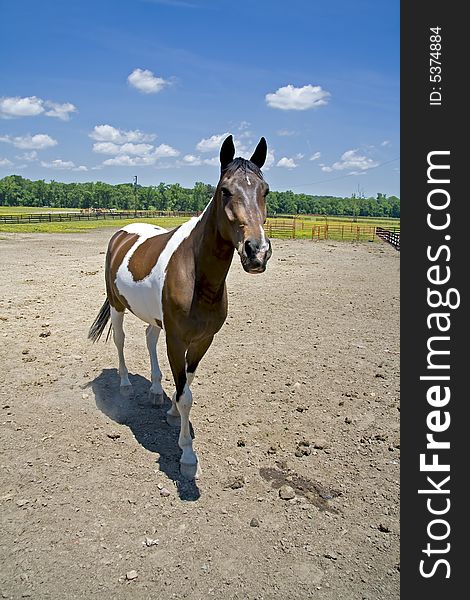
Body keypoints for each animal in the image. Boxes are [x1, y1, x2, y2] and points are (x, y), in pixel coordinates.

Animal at [89, 136, 272, 478]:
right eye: (225, 190)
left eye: (265, 190)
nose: (257, 251)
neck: (197, 275)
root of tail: (122, 233)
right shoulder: (177, 339)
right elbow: (186, 395)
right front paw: (187, 453)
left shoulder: (202, 340)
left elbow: (187, 381)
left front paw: (172, 411)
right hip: (118, 306)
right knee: (120, 340)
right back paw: (125, 384)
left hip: (154, 318)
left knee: (149, 339)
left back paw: (155, 391)